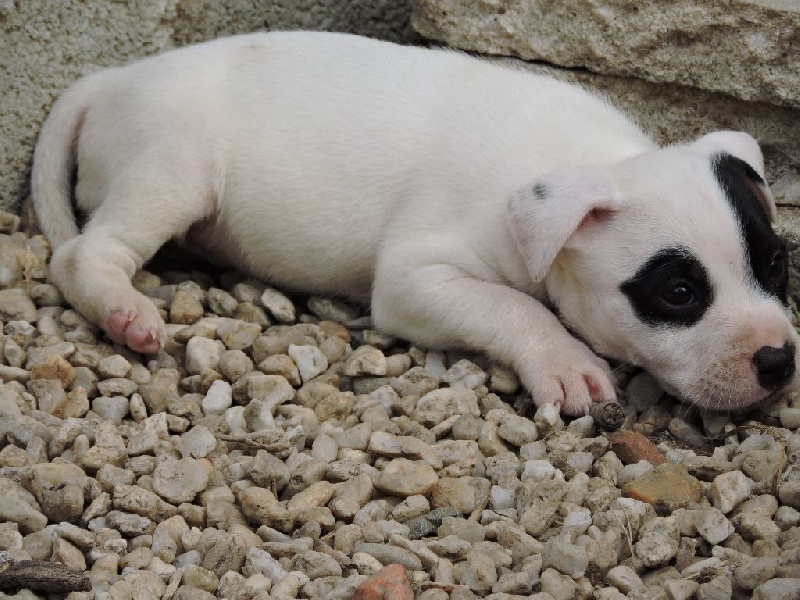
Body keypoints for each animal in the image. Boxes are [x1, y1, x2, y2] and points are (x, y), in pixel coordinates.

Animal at [31, 31, 799, 416]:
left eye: (775, 265)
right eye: (678, 294)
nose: (778, 362)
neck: (596, 159)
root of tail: (110, 81)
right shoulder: (416, 278)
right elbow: (515, 305)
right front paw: (566, 364)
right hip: (173, 164)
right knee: (86, 253)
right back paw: (126, 311)